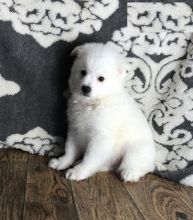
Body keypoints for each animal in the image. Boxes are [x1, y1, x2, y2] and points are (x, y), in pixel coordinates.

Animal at [48, 43, 155, 182]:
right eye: (83, 72)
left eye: (101, 78)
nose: (85, 88)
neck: (95, 103)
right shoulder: (75, 130)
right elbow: (70, 150)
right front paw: (62, 162)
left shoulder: (101, 137)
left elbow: (90, 157)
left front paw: (78, 172)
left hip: (136, 151)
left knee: (139, 165)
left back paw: (130, 173)